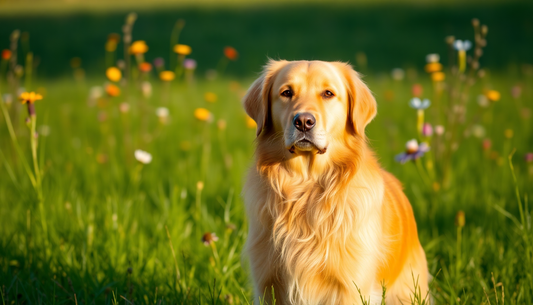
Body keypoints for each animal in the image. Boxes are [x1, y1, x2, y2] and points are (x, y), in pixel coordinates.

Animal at [241, 60, 428, 304]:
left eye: (328, 93)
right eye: (286, 93)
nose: (304, 122)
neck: (306, 187)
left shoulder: (351, 286)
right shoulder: (267, 283)